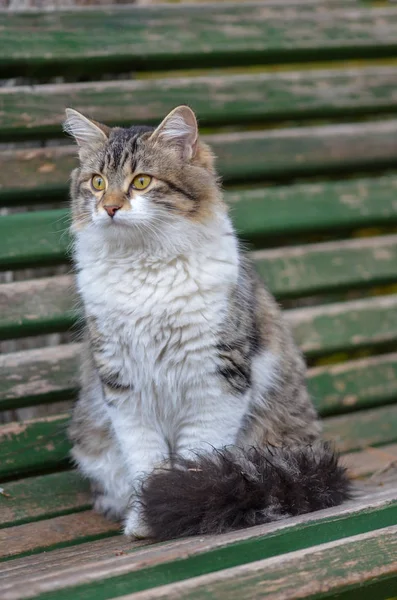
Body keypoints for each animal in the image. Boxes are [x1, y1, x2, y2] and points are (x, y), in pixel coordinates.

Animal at [65, 105, 350, 540]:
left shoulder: (216, 377)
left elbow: (195, 458)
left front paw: (178, 506)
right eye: (97, 183)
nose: (110, 207)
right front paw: (144, 519)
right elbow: (145, 461)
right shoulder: (123, 385)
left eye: (141, 182)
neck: (144, 265)